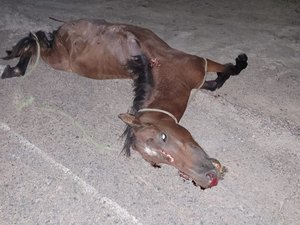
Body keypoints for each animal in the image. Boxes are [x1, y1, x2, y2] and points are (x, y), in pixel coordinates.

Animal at [1, 18, 247, 189]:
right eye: (155, 162)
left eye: (164, 136)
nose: (207, 179)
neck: (168, 75)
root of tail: (64, 28)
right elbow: (227, 72)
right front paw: (236, 64)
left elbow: (224, 74)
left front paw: (235, 65)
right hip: (58, 59)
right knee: (35, 42)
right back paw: (14, 67)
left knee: (37, 39)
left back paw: (14, 66)